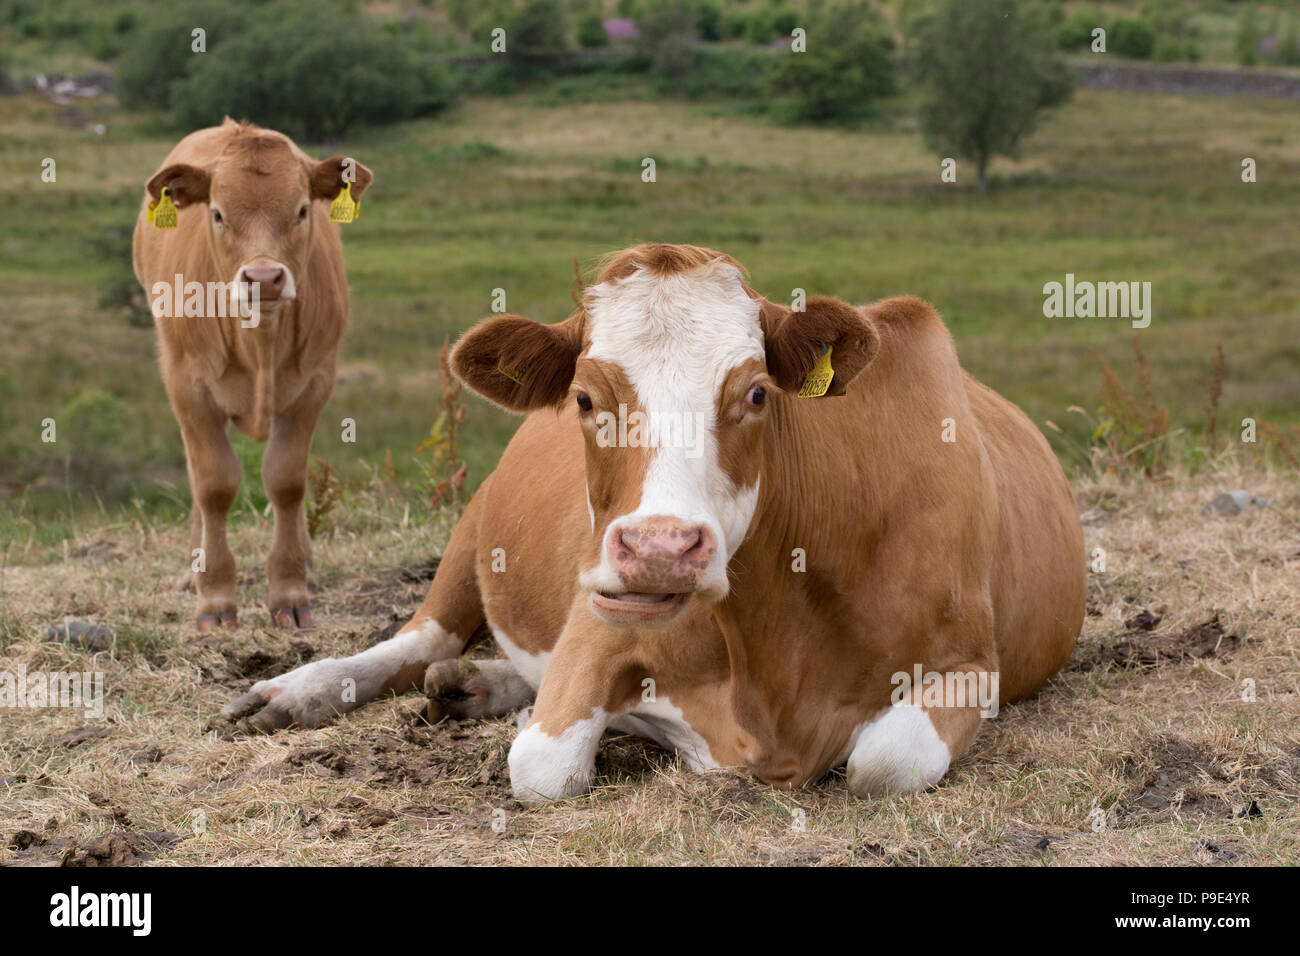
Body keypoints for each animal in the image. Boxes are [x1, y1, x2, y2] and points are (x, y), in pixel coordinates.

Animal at [133, 119, 371, 634]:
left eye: (302, 210)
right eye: (218, 214)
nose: (263, 278)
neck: (260, 343)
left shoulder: (314, 383)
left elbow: (286, 480)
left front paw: (291, 589)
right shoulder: (188, 386)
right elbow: (213, 484)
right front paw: (214, 596)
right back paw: (193, 569)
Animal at [226, 244, 1086, 801]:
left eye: (756, 393)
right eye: (584, 398)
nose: (661, 549)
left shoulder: (971, 660)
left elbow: (887, 760)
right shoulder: (597, 619)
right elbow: (542, 765)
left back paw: (477, 683)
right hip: (475, 528)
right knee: (418, 640)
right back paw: (297, 692)